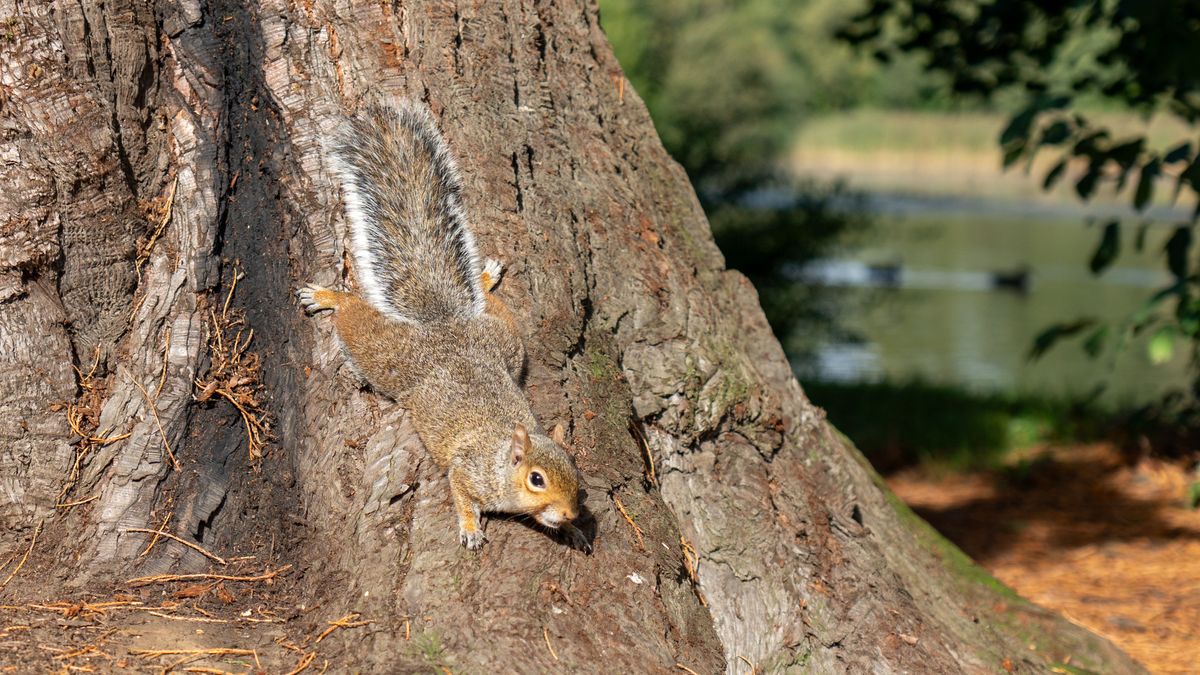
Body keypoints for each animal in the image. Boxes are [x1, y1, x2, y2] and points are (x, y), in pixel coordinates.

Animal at [297, 102, 589, 552]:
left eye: (577, 474)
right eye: (536, 479)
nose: (571, 512)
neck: (500, 459)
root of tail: (443, 326)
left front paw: (573, 530)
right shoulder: (466, 470)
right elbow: (462, 495)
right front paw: (470, 529)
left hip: (506, 342)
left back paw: (484, 279)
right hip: (385, 355)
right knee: (353, 315)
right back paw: (330, 298)